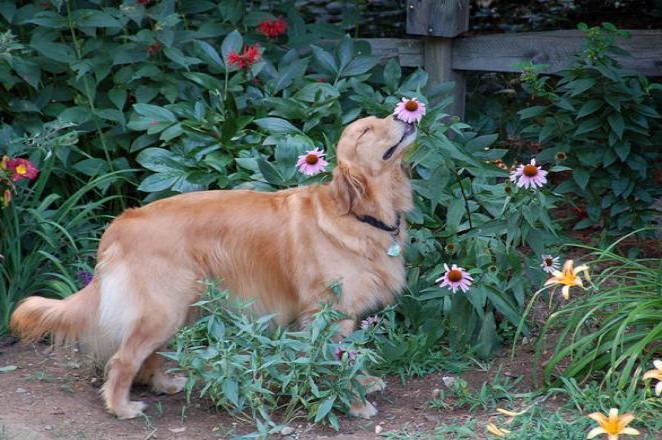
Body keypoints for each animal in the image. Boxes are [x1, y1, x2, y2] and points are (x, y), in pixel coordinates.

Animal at [9, 113, 416, 420]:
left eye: (379, 119)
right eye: (365, 131)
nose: (403, 114)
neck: (358, 214)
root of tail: (123, 221)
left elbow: (353, 359)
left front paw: (364, 384)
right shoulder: (328, 314)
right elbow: (340, 364)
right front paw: (356, 403)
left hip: (181, 307)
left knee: (149, 355)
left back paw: (165, 384)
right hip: (163, 309)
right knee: (123, 359)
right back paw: (121, 407)